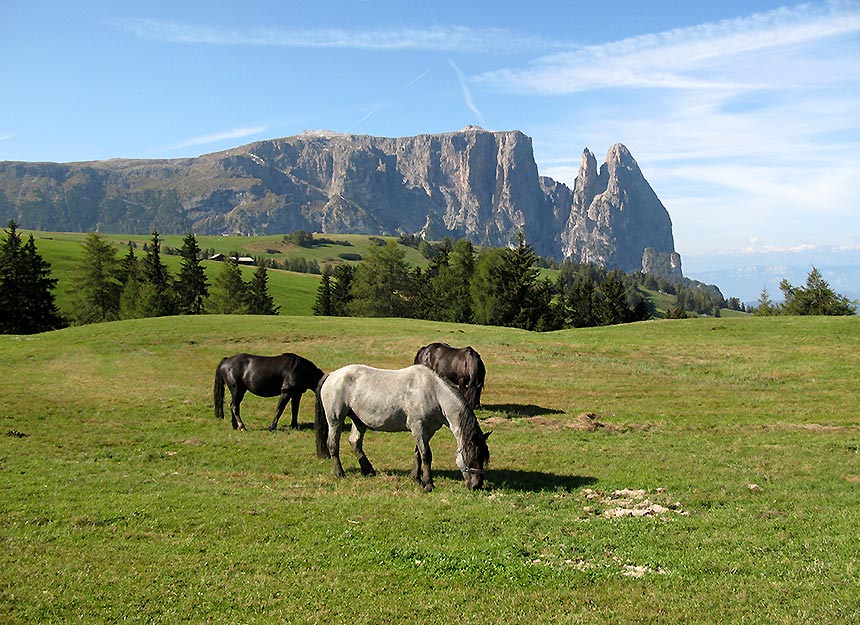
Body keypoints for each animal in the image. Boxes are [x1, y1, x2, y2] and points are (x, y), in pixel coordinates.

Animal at [316, 364, 490, 490]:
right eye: (471, 458)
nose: (477, 485)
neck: (433, 392)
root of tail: (331, 375)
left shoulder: (426, 431)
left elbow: (418, 454)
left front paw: (416, 477)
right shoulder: (418, 427)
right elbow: (426, 455)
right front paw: (428, 484)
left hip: (359, 421)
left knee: (355, 442)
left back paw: (368, 470)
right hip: (335, 420)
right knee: (333, 444)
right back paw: (339, 473)